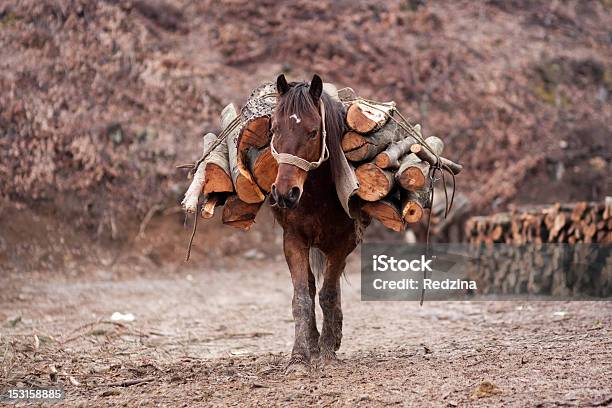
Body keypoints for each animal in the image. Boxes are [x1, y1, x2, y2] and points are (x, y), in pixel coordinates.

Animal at [268, 73, 364, 372]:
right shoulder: (293, 240)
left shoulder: (343, 243)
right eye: (274, 128)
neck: (317, 194)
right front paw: (300, 357)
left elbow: (328, 294)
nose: (285, 194)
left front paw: (328, 352)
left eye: (312, 132)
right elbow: (302, 297)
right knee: (311, 287)